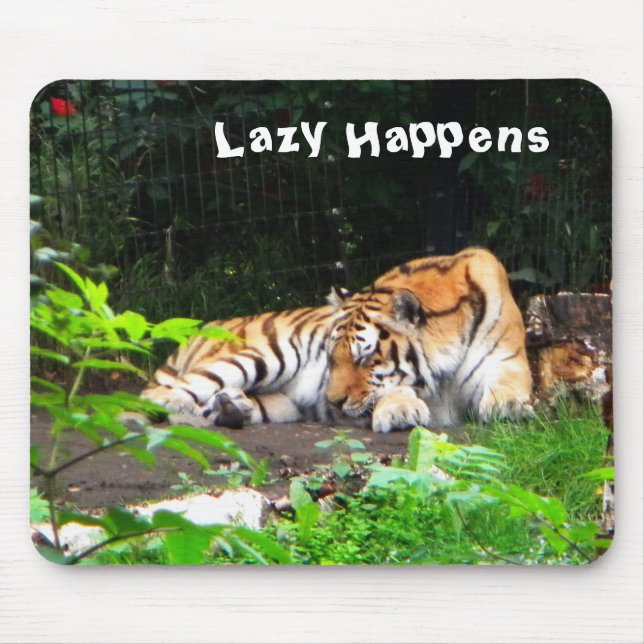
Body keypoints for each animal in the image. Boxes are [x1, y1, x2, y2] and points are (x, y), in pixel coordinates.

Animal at [325, 247, 533, 431]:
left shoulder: (506, 358)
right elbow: (392, 388)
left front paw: (509, 406)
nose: (333, 403)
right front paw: (399, 410)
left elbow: (507, 382)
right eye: (332, 358)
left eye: (364, 358)